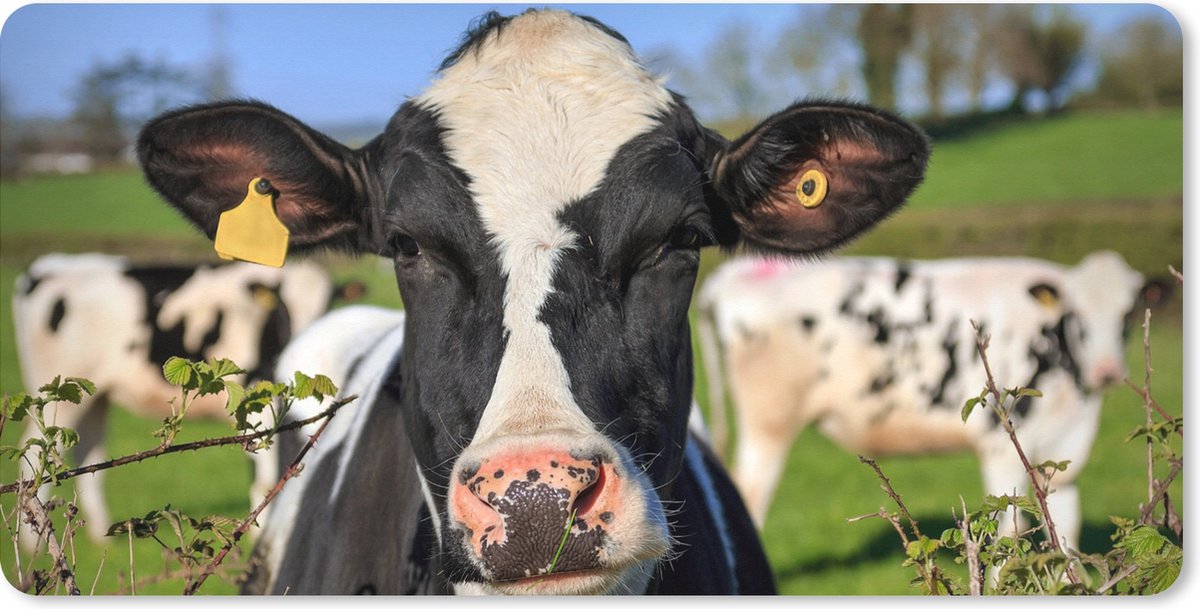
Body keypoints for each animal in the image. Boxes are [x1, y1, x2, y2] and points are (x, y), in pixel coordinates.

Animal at [11, 252, 353, 549]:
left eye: (328, 309)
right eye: (281, 310)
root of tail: (50, 266)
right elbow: (265, 476)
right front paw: (260, 537)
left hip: (94, 398)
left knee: (89, 453)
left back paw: (99, 536)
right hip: (56, 393)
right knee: (37, 453)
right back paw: (31, 542)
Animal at [696, 250, 1168, 550]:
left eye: (1128, 314)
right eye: (1077, 316)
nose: (1106, 371)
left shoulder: (1061, 451)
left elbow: (1064, 533)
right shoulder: (1001, 447)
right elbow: (1008, 533)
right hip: (769, 424)